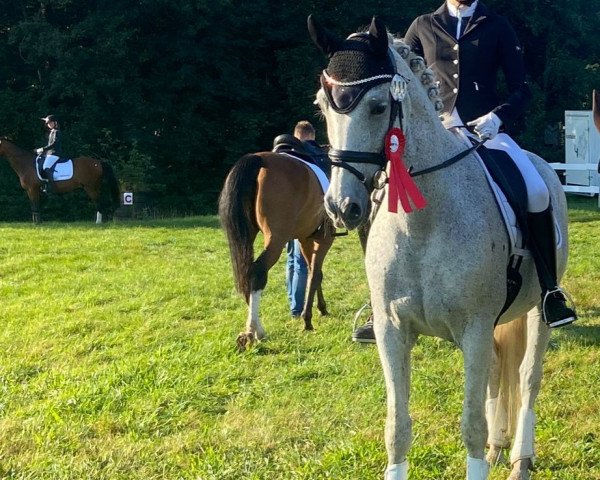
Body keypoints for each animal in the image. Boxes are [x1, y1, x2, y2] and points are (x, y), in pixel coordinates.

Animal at [218, 150, 336, 348]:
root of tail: (259, 158)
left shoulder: (305, 238)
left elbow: (314, 272)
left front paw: (320, 309)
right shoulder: (325, 239)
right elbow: (315, 275)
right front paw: (307, 320)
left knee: (246, 273)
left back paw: (255, 329)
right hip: (276, 239)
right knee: (257, 271)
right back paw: (253, 331)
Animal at [312, 15, 568, 480]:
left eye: (377, 107)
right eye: (324, 106)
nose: (342, 207)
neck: (422, 226)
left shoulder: (474, 330)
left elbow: (471, 424)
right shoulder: (393, 331)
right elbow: (397, 427)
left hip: (537, 311)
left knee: (527, 377)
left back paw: (519, 459)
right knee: (499, 371)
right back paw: (499, 447)